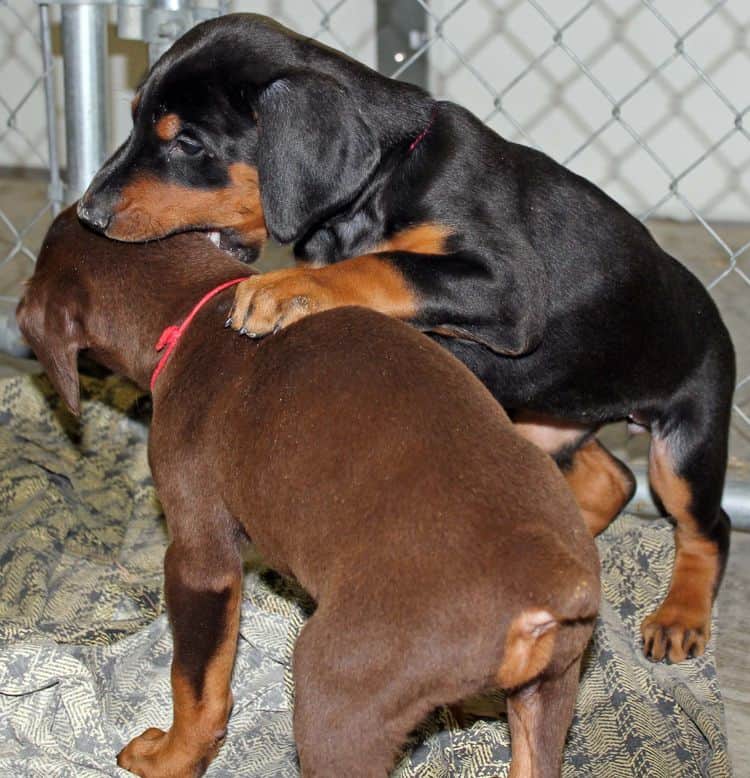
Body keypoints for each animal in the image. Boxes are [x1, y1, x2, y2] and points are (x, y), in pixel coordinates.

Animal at [17, 206, 604, 776]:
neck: (195, 310)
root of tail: (553, 582)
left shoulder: (200, 559)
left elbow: (196, 684)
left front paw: (168, 758)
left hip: (337, 694)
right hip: (550, 692)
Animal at [75, 10, 736, 660]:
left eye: (187, 142)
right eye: (134, 120)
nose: (89, 215)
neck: (387, 176)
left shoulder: (509, 288)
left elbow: (385, 264)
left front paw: (285, 289)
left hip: (685, 441)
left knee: (707, 526)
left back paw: (679, 616)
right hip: (547, 415)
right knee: (612, 478)